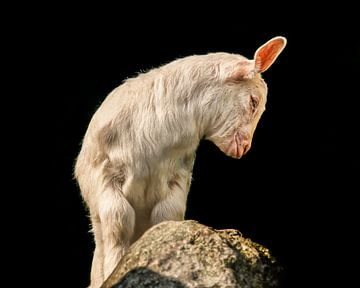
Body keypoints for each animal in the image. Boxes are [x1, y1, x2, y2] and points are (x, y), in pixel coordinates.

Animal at [75, 36, 286, 288]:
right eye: (254, 102)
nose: (244, 148)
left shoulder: (178, 177)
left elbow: (165, 218)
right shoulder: (104, 174)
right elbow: (119, 221)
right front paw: (114, 269)